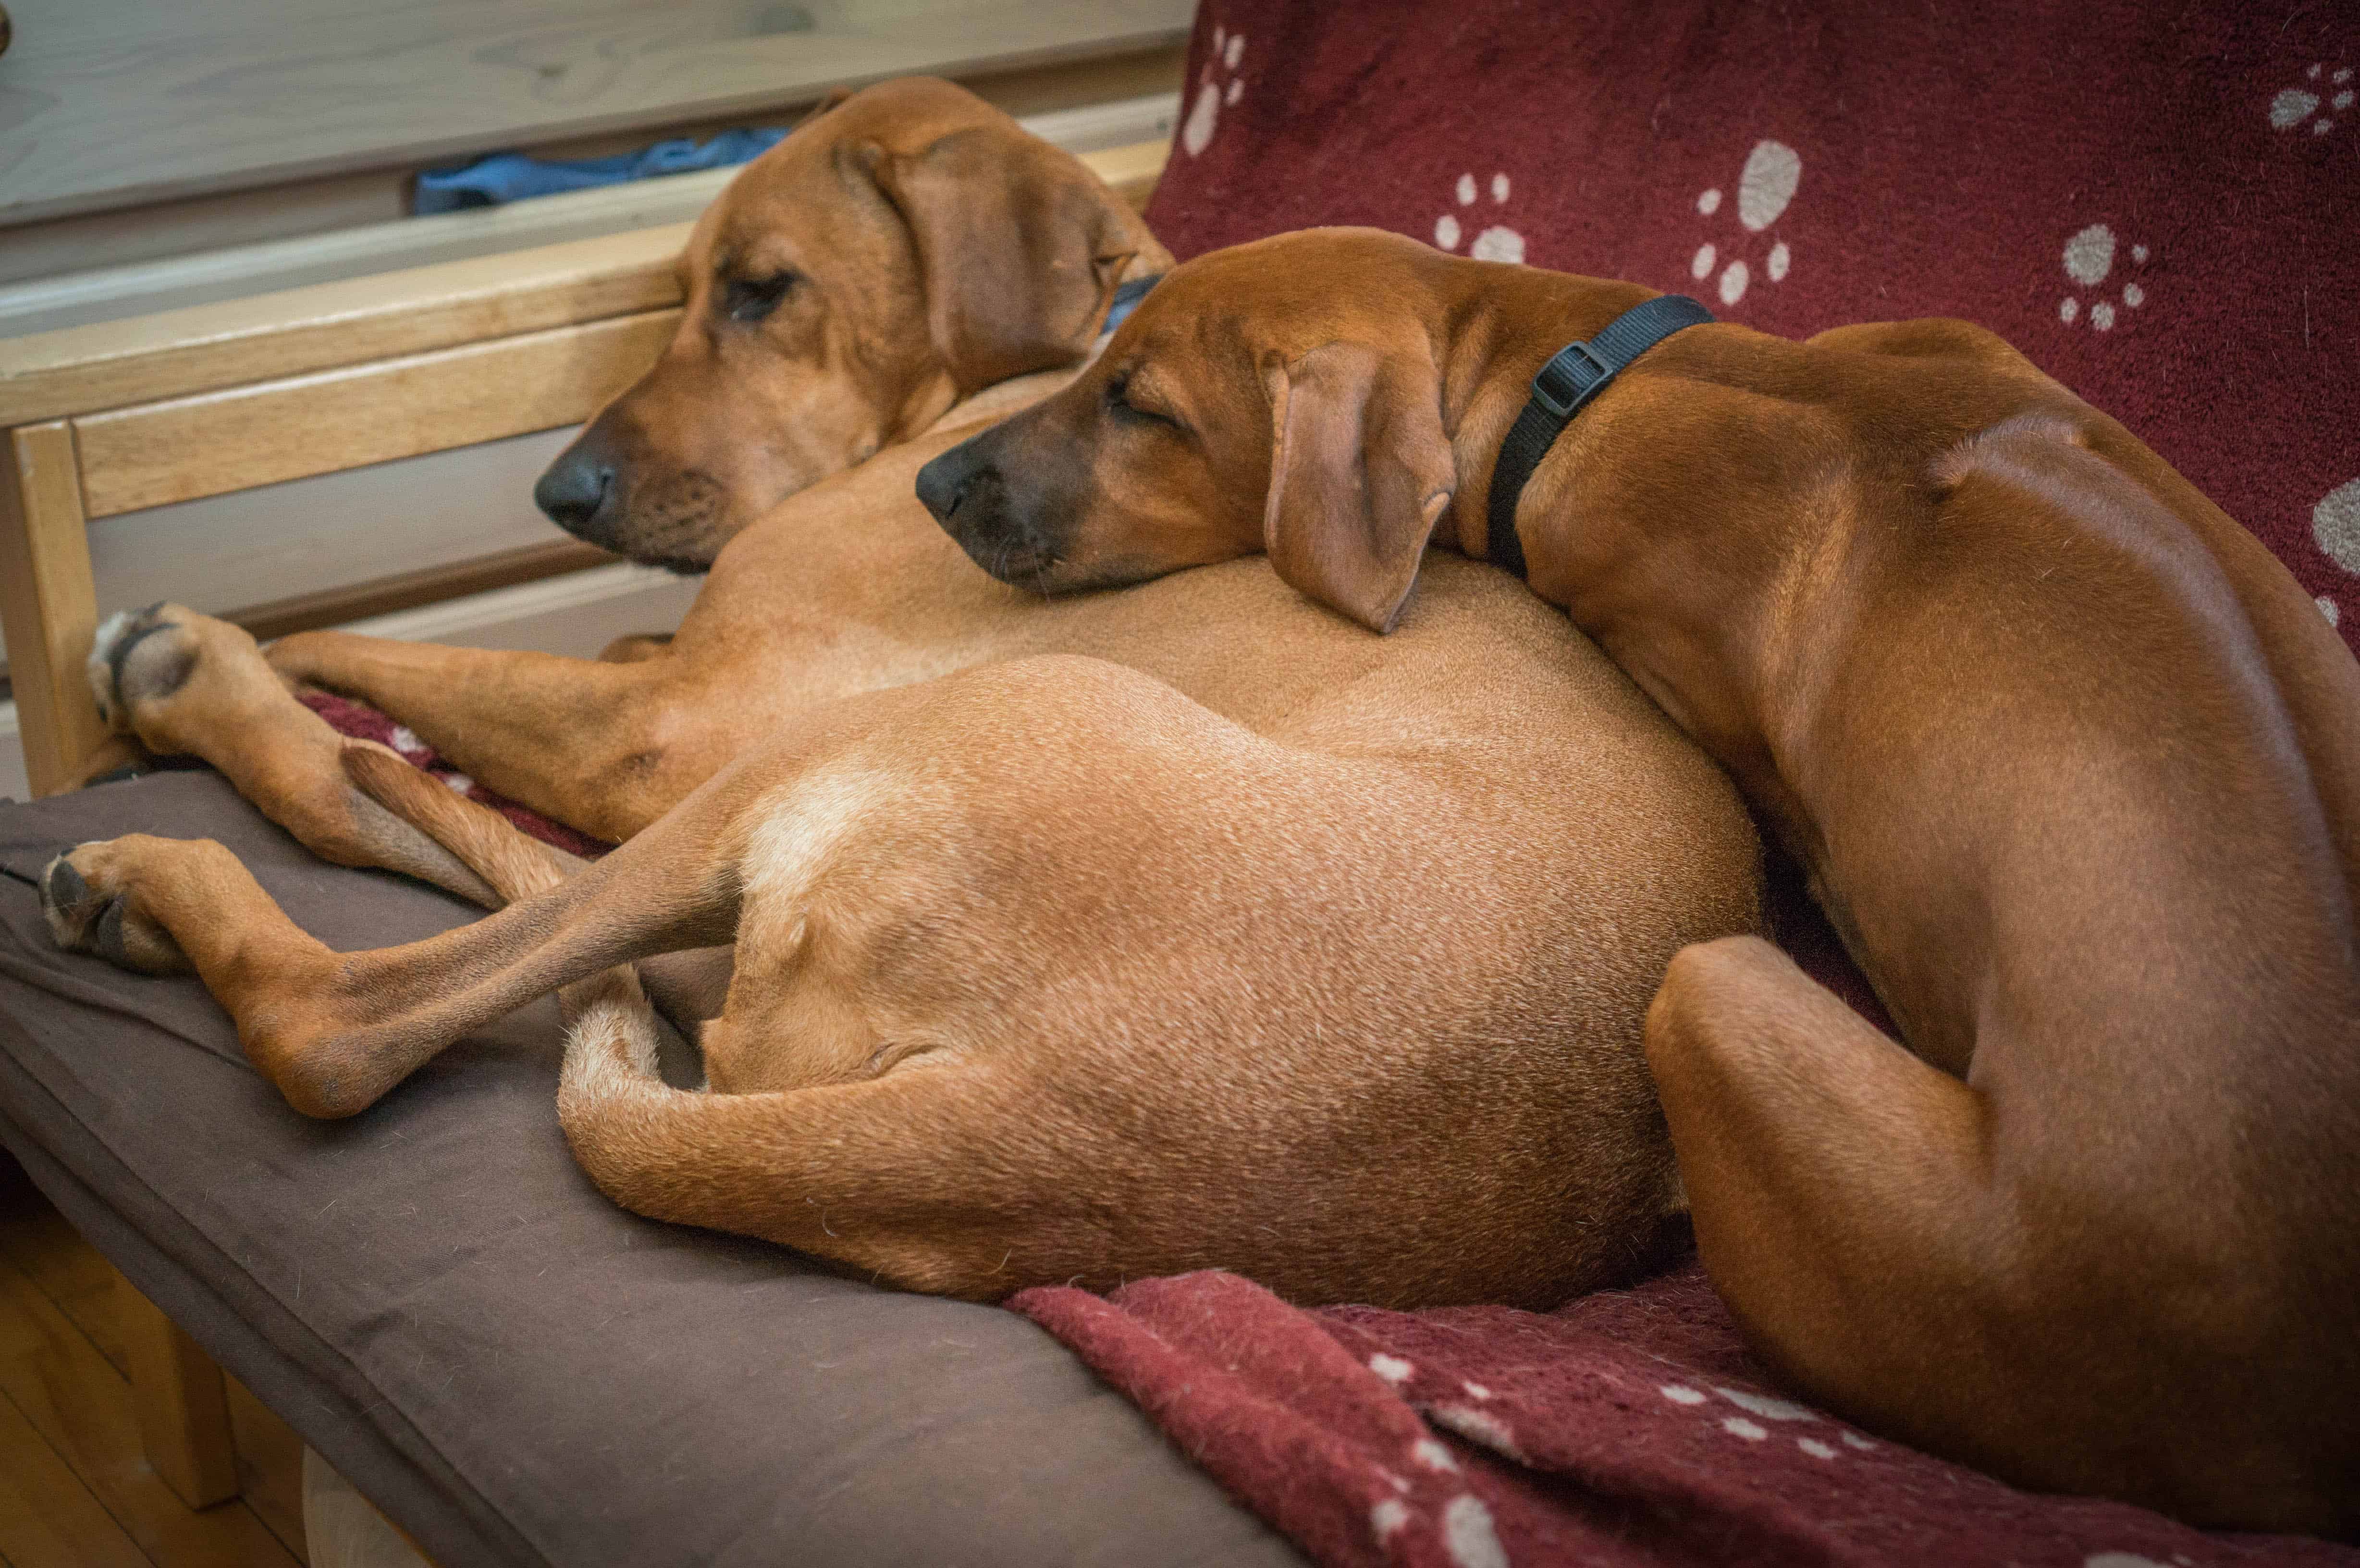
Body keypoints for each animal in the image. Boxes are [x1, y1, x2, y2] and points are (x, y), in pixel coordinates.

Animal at [41, 110, 1774, 1313]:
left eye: (759, 294)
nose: (560, 493)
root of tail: (1047, 1134)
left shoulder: (660, 733)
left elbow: (372, 654)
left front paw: (245, 654)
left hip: (906, 732)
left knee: (348, 994)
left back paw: (170, 784)